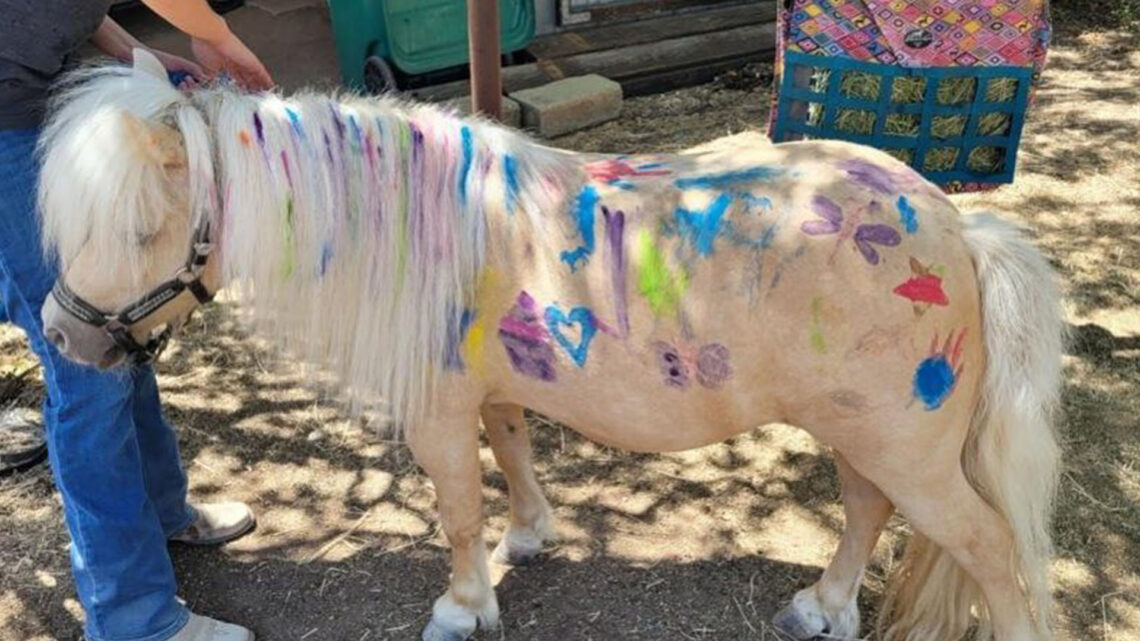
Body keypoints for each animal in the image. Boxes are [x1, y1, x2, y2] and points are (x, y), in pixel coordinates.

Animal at [38, 49, 1064, 641]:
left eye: (140, 230)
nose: (59, 333)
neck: (423, 231)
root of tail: (958, 226)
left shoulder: (437, 415)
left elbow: (457, 509)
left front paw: (462, 605)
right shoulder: (492, 392)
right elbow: (515, 452)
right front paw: (529, 536)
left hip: (908, 448)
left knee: (987, 547)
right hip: (868, 438)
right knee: (865, 511)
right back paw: (824, 607)